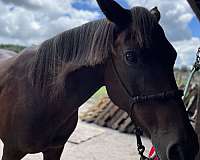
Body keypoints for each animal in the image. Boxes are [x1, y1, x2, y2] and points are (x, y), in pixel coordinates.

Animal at [0, 0, 198, 159]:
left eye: (173, 55)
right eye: (130, 56)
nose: (185, 149)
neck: (43, 97)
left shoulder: (55, 149)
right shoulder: (11, 151)